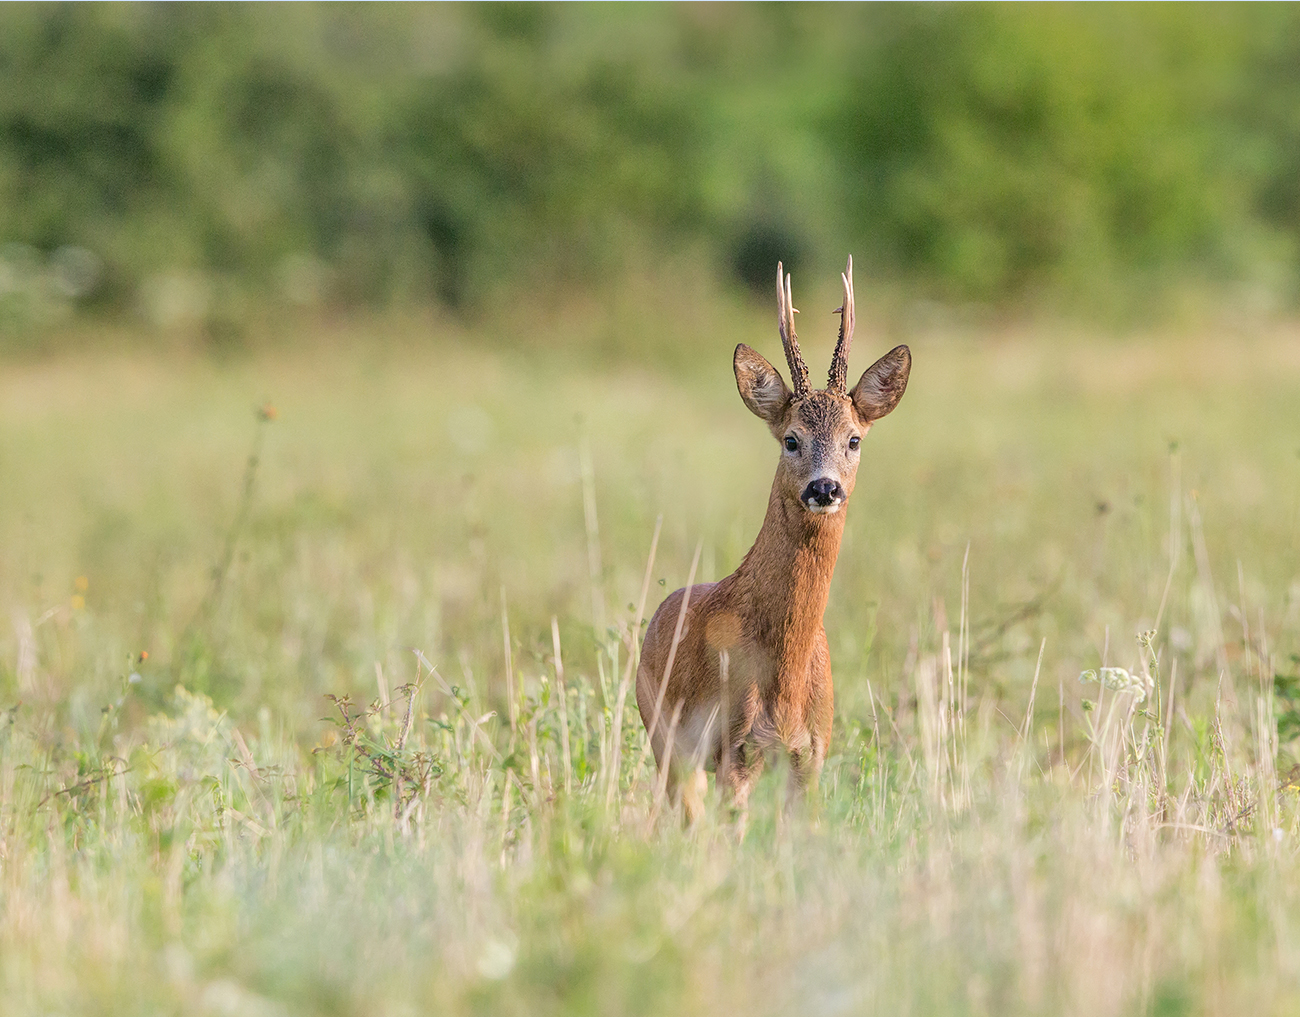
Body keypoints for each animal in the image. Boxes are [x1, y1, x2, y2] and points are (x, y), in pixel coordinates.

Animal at [634, 254, 909, 827]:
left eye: (854, 439)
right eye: (791, 439)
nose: (824, 488)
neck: (783, 673)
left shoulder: (811, 752)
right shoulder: (734, 748)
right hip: (666, 740)